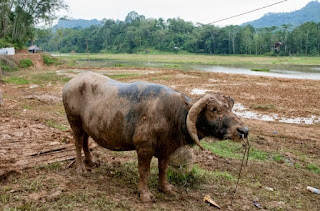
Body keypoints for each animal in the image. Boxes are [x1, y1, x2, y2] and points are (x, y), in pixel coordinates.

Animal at [61, 71, 249, 202]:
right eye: (213, 109)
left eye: (230, 108)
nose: (243, 130)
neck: (172, 114)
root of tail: (69, 84)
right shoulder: (144, 147)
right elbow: (144, 171)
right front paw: (145, 194)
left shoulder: (166, 149)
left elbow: (163, 169)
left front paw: (166, 188)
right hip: (74, 122)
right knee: (77, 143)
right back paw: (81, 167)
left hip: (86, 126)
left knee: (85, 141)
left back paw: (91, 162)